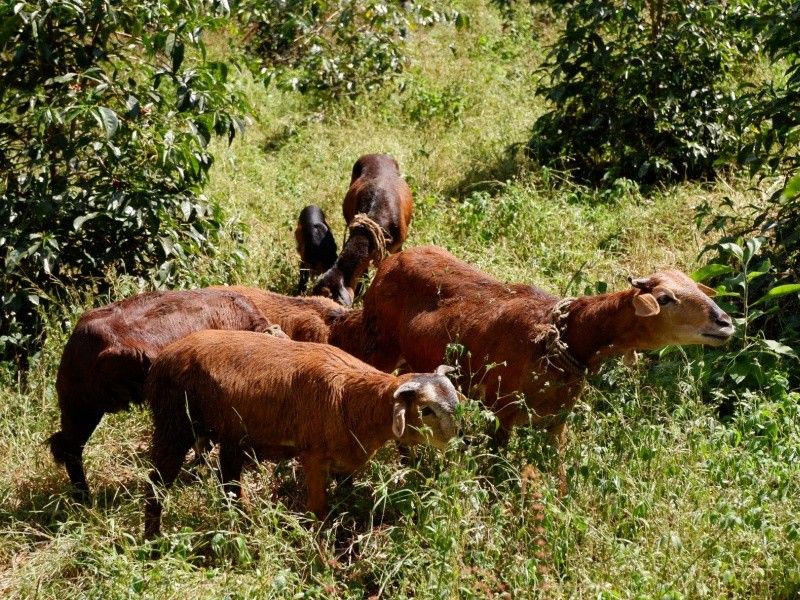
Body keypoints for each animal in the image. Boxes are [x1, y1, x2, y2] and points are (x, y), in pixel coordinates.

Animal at [360, 246, 736, 494]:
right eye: (666, 297)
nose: (725, 322)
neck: (563, 338)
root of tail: (391, 260)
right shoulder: (501, 412)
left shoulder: (557, 420)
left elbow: (559, 469)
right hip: (380, 345)